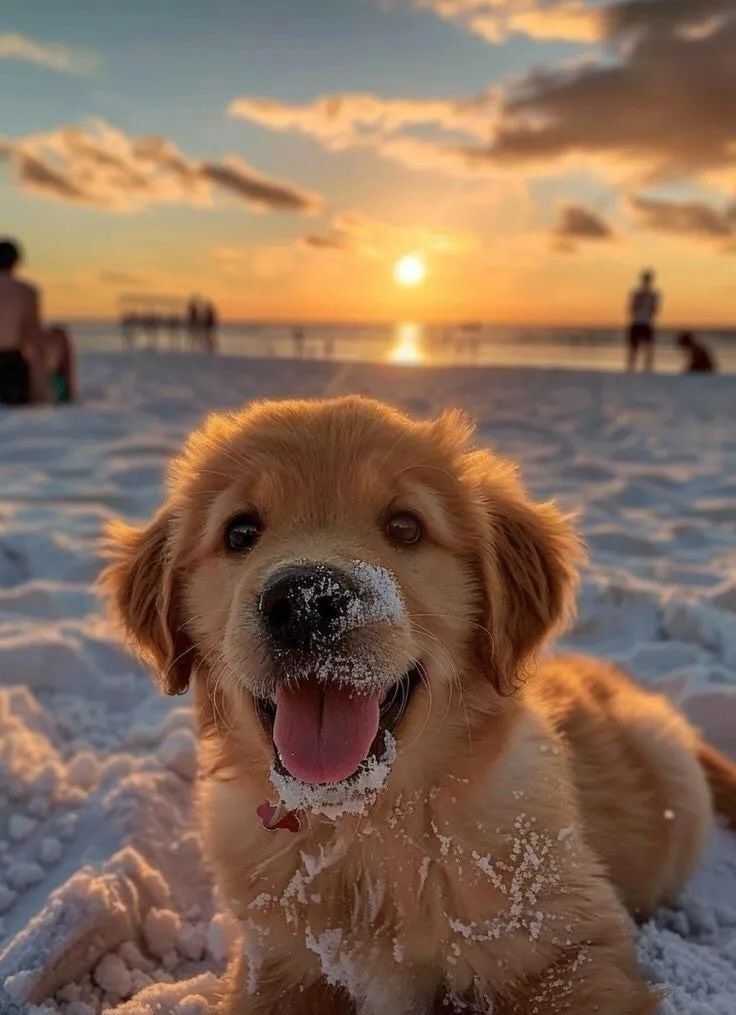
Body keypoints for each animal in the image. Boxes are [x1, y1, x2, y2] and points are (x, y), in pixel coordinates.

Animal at [100, 395, 730, 1015]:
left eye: (405, 527)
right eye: (240, 532)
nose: (303, 600)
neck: (367, 829)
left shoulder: (572, 950)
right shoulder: (273, 966)